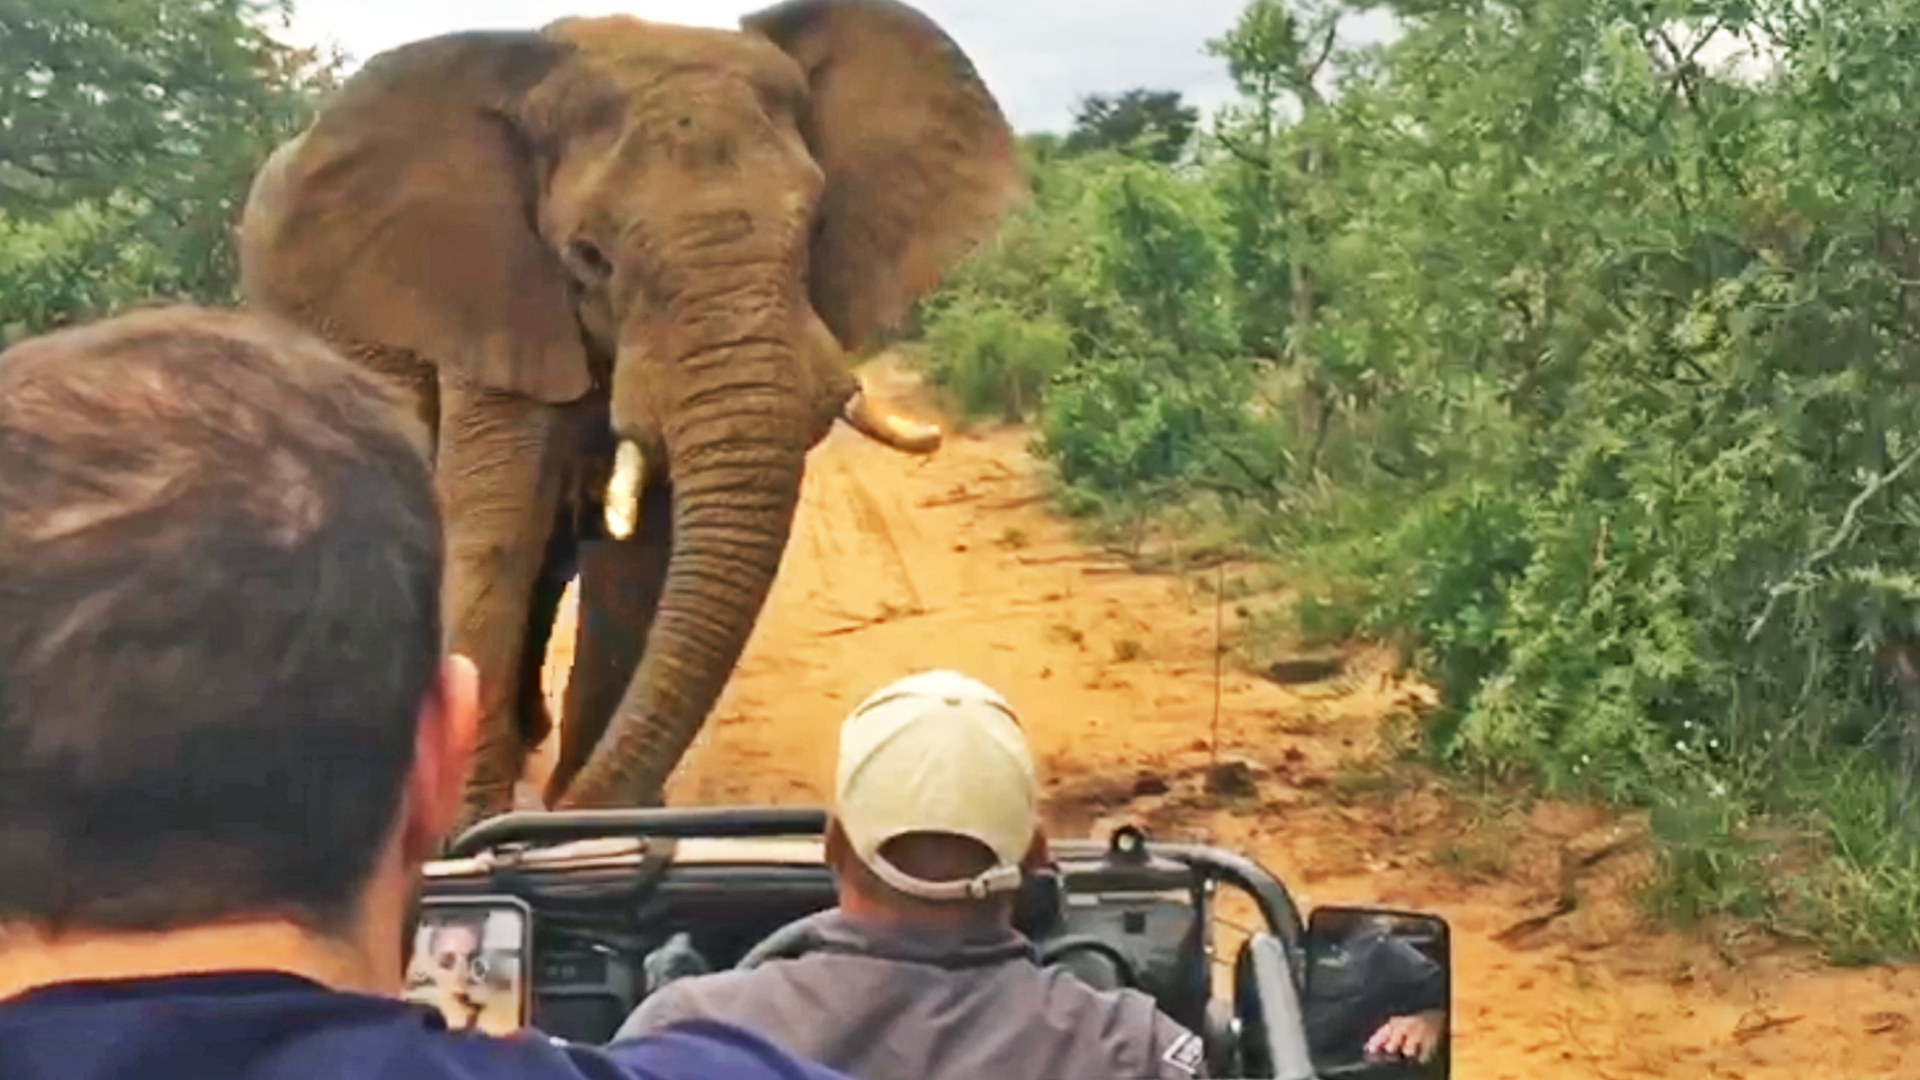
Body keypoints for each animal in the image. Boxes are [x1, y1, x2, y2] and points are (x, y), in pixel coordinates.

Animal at [235, 0, 1025, 832]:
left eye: (814, 231)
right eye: (589, 257)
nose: (542, 819)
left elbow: (639, 557)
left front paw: (584, 822)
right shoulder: (492, 294)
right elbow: (496, 531)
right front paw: (472, 827)